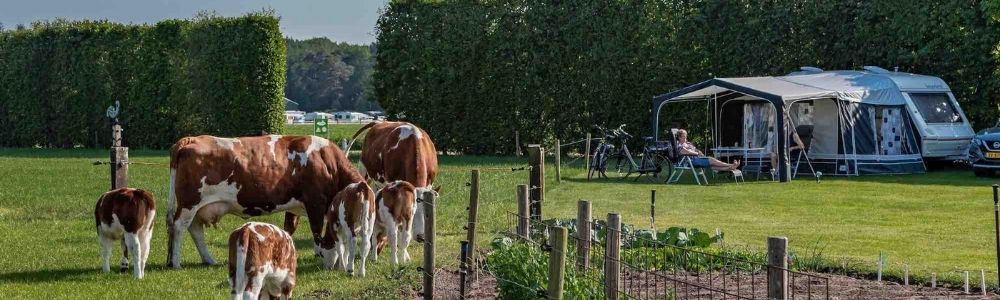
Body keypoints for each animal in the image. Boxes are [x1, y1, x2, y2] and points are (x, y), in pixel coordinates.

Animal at [166, 135, 362, 268]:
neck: (326, 161)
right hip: (190, 202)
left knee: (195, 229)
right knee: (179, 227)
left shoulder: (295, 206)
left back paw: (208, 260)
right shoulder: (315, 203)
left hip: (197, 207)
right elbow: (317, 232)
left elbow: (289, 229)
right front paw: (324, 256)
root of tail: (191, 139)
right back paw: (176, 263)